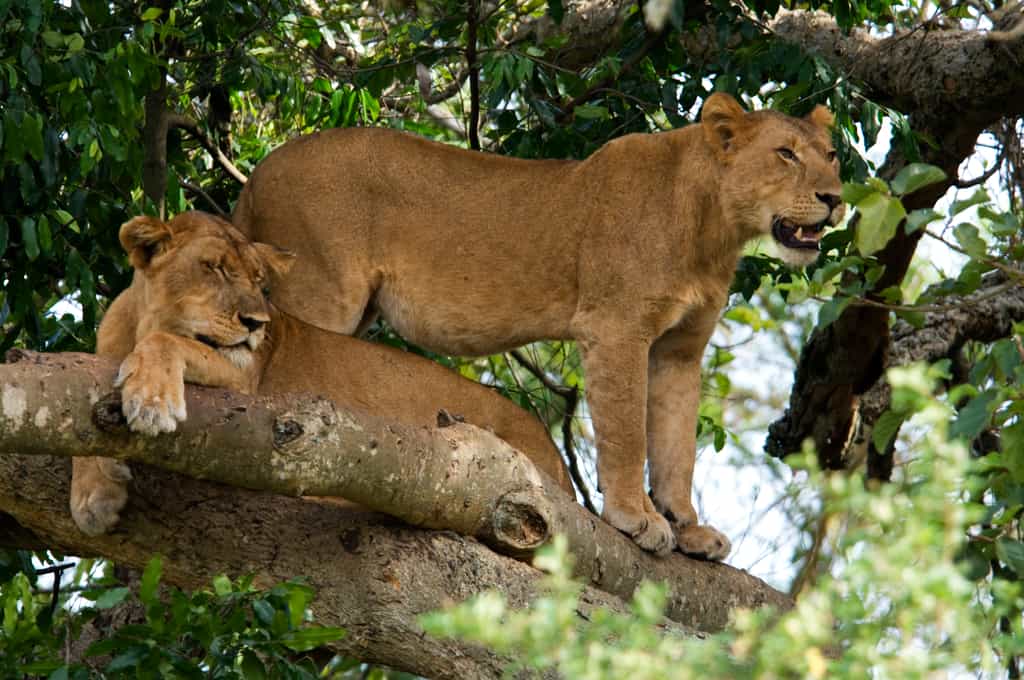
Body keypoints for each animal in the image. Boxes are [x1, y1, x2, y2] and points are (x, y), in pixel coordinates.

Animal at [70, 211, 573, 536]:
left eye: (259, 282)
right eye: (213, 268)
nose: (257, 323)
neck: (142, 320)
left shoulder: (244, 380)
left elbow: (167, 344)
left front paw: (152, 402)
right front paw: (93, 498)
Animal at [231, 93, 844, 560]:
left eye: (832, 155)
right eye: (785, 154)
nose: (835, 198)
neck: (713, 227)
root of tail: (257, 174)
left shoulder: (680, 349)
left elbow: (676, 447)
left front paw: (688, 527)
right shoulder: (617, 329)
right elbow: (628, 435)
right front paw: (635, 516)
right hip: (320, 292)